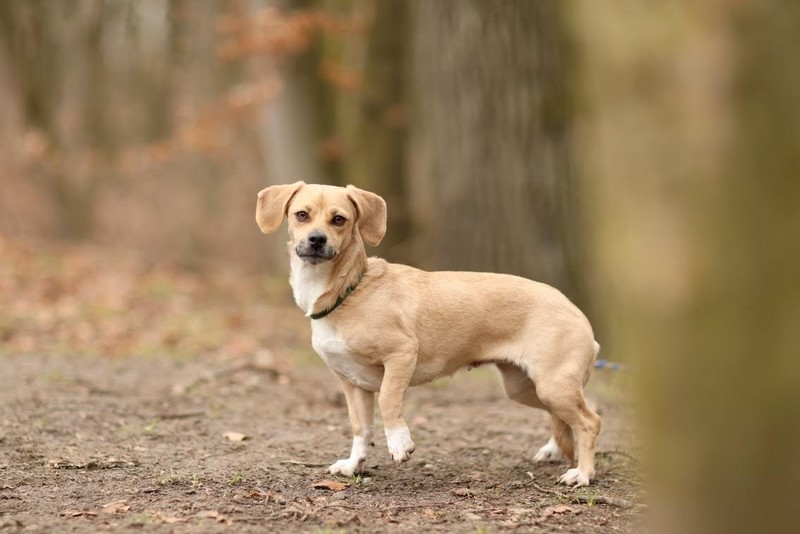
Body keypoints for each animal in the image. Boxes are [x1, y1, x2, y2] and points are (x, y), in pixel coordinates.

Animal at [256, 182, 600, 488]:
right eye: (302, 215)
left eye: (339, 219)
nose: (316, 239)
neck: (349, 290)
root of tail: (576, 311)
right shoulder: (352, 384)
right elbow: (360, 429)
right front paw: (354, 465)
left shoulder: (401, 355)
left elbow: (388, 401)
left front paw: (399, 443)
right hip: (526, 389)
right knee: (567, 418)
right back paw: (555, 451)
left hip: (552, 386)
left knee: (590, 421)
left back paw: (582, 474)